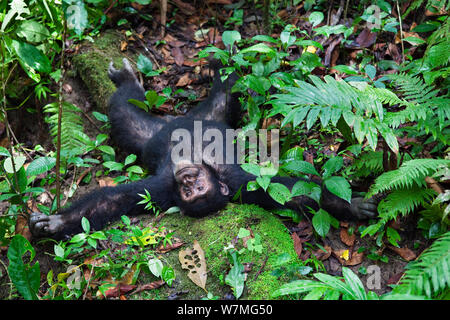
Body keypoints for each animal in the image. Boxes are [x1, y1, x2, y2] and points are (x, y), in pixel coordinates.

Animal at [29, 58, 376, 239]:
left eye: (197, 190)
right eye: (188, 189)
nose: (186, 180)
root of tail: (181, 118)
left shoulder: (241, 184)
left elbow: (295, 194)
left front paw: (351, 205)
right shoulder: (160, 189)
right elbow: (113, 200)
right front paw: (56, 223)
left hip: (196, 121)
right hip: (159, 134)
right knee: (132, 110)